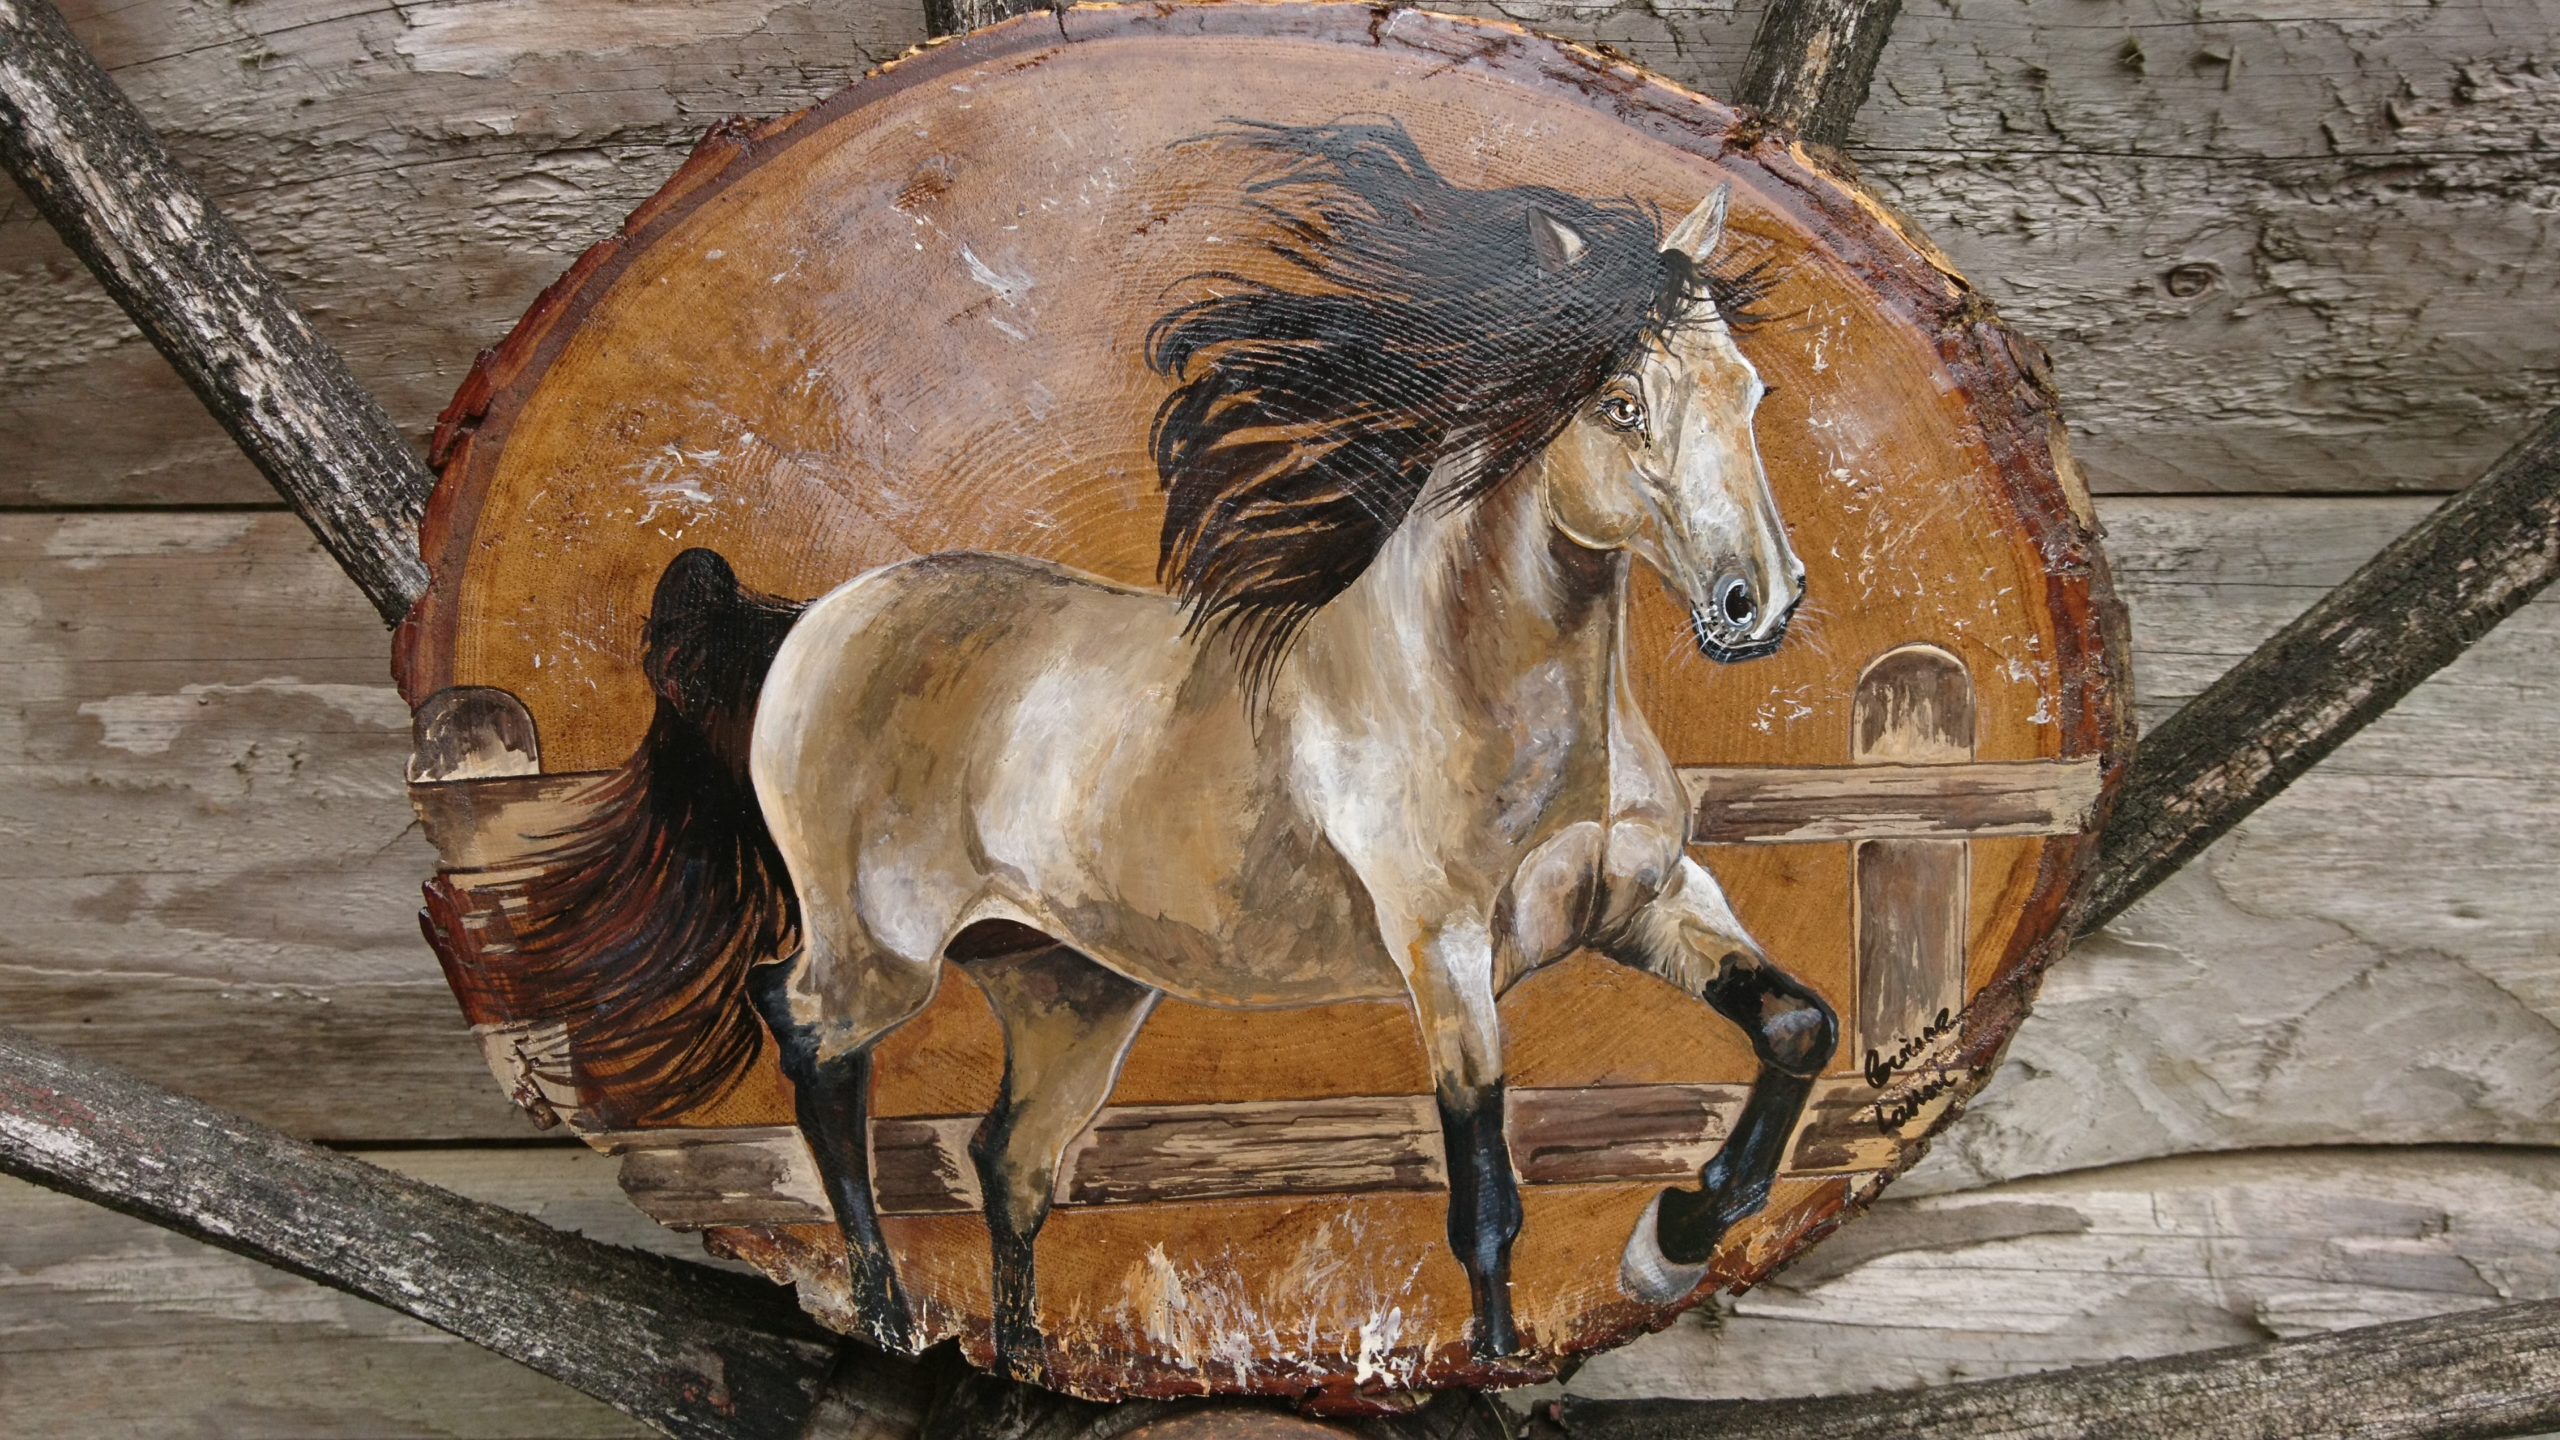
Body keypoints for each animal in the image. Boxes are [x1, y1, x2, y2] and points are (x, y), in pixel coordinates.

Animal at [500, 120, 1837, 1379]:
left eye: (1752, 394)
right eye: (1619, 406)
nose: (1755, 605)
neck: (1478, 692)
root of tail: (811, 621)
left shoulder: (1651, 900)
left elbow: (1800, 1028)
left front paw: (1669, 1241)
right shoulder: (1444, 955)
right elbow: (1487, 1202)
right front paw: (1516, 1344)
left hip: (1067, 989)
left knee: (1007, 1158)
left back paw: (1021, 1352)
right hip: (884, 946)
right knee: (803, 1028)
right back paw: (882, 1308)